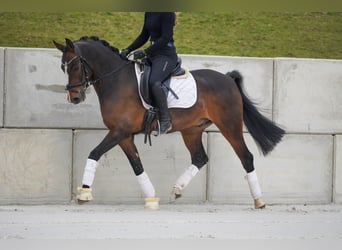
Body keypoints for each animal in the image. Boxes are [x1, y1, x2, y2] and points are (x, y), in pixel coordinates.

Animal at [52, 36, 284, 209]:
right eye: (63, 68)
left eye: (75, 66)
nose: (74, 98)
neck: (116, 80)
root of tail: (227, 78)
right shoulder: (124, 135)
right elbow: (137, 165)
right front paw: (151, 197)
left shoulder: (119, 131)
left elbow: (94, 153)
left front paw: (84, 193)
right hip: (191, 130)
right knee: (200, 158)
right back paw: (177, 189)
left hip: (229, 126)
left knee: (246, 157)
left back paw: (259, 201)